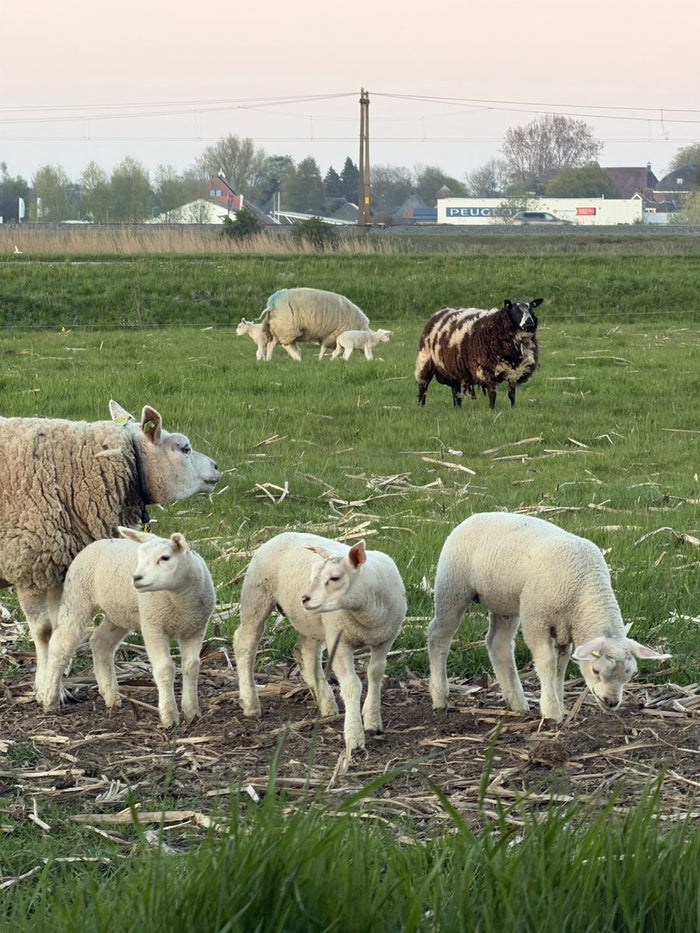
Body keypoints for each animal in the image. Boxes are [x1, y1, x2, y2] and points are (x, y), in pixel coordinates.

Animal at [0, 400, 220, 695]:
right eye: (184, 448)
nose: (216, 467)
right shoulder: (28, 562)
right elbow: (45, 631)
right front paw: (45, 690)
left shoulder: (58, 567)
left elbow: (59, 628)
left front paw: (55, 687)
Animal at [37, 527, 216, 726]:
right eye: (140, 557)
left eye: (165, 558)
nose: (136, 578)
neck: (179, 600)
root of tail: (97, 542)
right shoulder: (153, 627)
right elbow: (165, 668)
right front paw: (169, 715)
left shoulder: (195, 629)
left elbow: (192, 667)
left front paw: (192, 712)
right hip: (77, 596)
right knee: (60, 645)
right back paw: (50, 699)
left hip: (118, 614)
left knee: (100, 642)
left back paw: (111, 695)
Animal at [234, 532, 406, 759]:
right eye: (314, 575)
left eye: (335, 578)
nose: (304, 599)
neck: (366, 613)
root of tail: (282, 533)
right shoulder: (339, 642)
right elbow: (352, 684)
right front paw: (354, 736)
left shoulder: (385, 640)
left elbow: (376, 675)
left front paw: (372, 720)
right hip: (257, 596)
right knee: (245, 642)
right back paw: (251, 703)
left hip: (312, 622)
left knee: (305, 652)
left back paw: (326, 703)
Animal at [415, 298, 543, 410]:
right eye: (515, 310)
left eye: (531, 309)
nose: (529, 323)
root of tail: (441, 311)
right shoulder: (488, 370)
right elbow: (493, 394)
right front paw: (492, 410)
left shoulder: (515, 372)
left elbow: (512, 394)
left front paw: (513, 409)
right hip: (426, 358)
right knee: (423, 385)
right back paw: (421, 406)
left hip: (453, 367)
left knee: (456, 390)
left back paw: (458, 408)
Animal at [427, 512, 670, 722]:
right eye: (596, 670)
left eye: (630, 675)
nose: (611, 703)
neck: (585, 589)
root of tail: (472, 517)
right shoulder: (536, 621)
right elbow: (547, 662)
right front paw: (551, 711)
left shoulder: (566, 629)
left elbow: (560, 667)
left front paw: (559, 702)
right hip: (453, 587)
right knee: (439, 635)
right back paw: (440, 697)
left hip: (504, 601)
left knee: (499, 644)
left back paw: (517, 702)